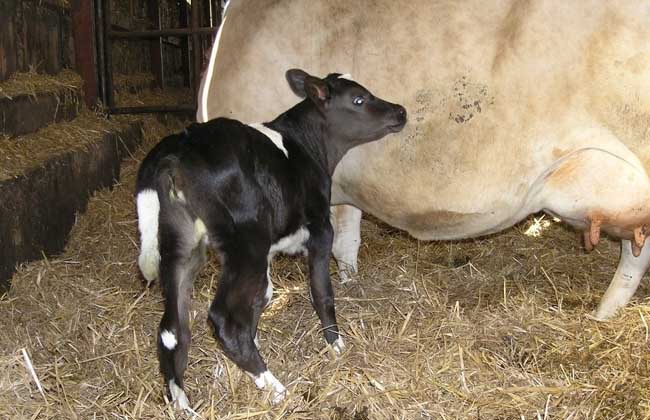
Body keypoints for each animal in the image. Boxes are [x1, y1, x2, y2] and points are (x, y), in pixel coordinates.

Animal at [134, 69, 404, 410]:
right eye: (359, 99)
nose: (400, 111)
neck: (305, 147)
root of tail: (177, 147)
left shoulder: (271, 252)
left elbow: (262, 297)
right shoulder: (320, 231)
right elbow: (321, 293)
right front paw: (336, 345)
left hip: (181, 244)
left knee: (172, 327)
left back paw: (183, 403)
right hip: (245, 242)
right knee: (223, 318)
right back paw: (275, 387)